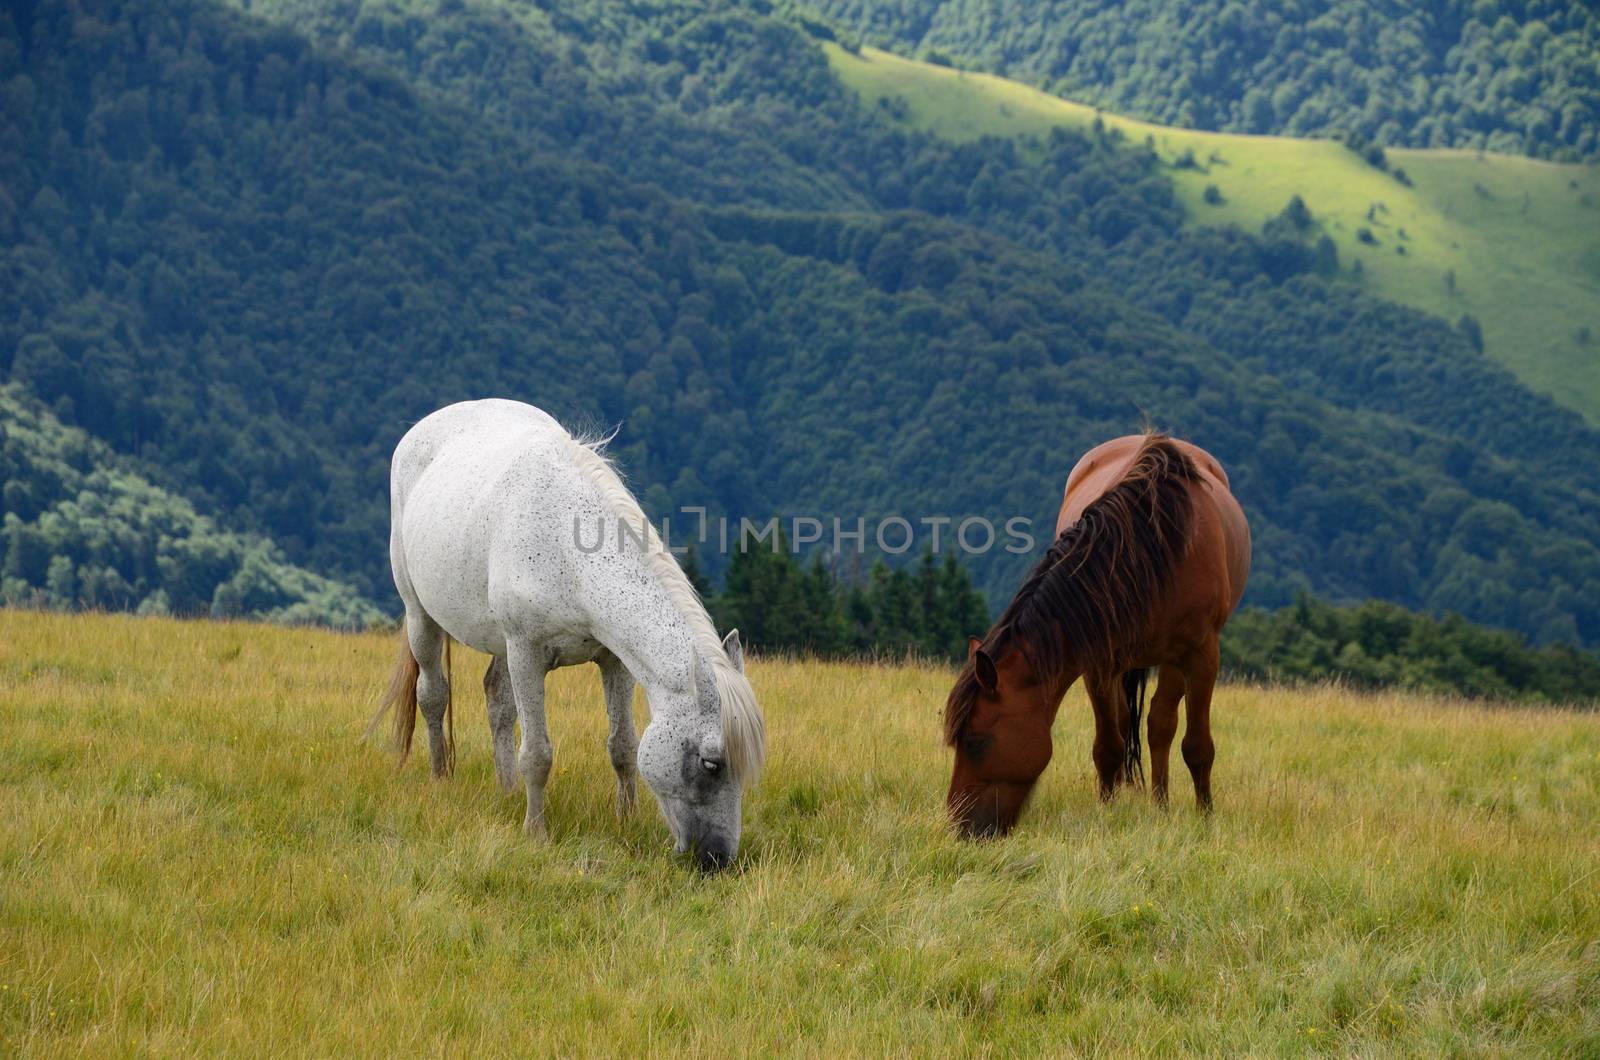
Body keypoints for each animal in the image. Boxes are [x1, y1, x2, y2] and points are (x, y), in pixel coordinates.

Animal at [371, 398, 764, 871]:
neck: (564, 544)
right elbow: (537, 754)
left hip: (500, 646)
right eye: (711, 764)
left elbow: (623, 746)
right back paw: (440, 778)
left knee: (497, 701)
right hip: (421, 616)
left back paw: (507, 792)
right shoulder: (526, 653)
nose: (718, 859)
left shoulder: (614, 661)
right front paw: (536, 832)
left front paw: (626, 819)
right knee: (433, 695)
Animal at [940, 432, 1254, 839]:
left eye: (976, 741)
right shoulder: (1098, 663)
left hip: (1174, 662)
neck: (1153, 553)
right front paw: (1106, 811)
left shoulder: (1201, 657)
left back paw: (1161, 805)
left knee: (1161, 724)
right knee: (1133, 724)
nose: (959, 825)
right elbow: (1108, 746)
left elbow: (1197, 746)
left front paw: (1205, 819)